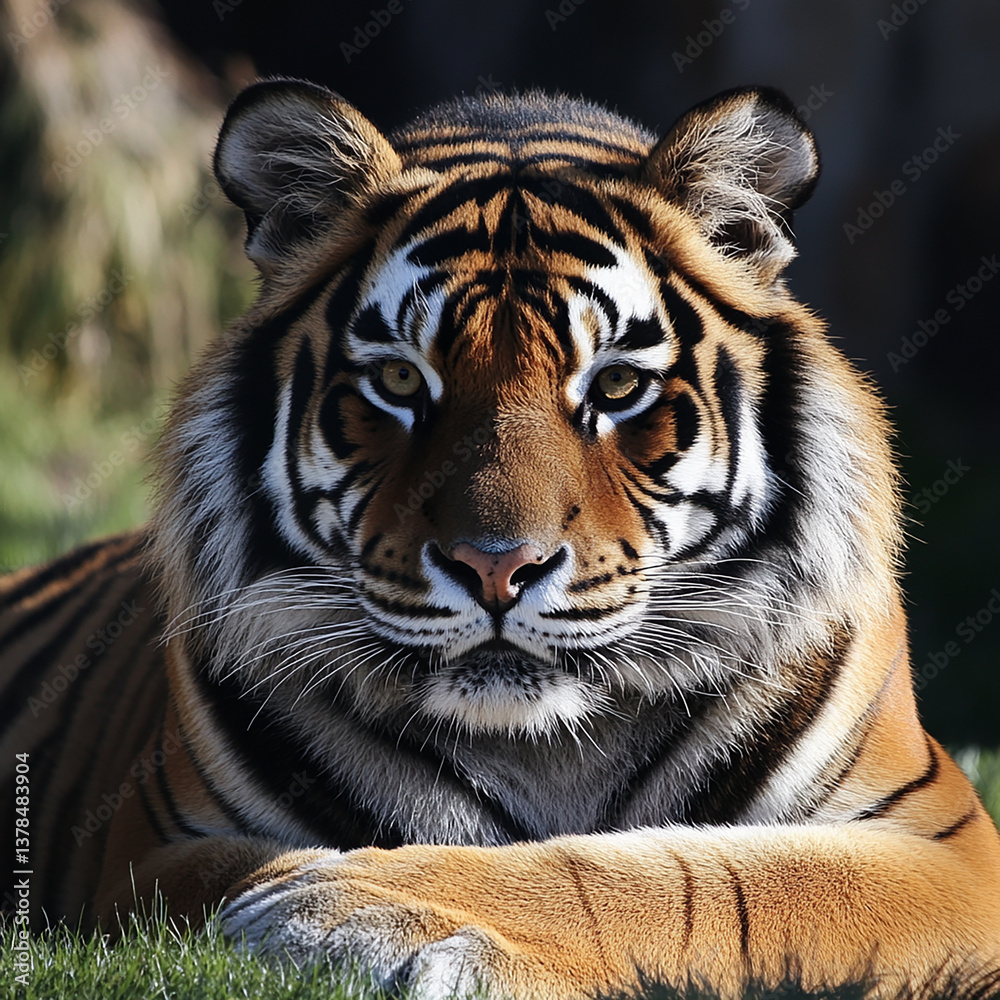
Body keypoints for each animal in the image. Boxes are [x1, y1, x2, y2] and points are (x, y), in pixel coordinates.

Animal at [2, 78, 999, 1000]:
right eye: (402, 381)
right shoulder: (155, 852)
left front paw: (343, 904)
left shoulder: (949, 851)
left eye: (617, 385)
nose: (496, 567)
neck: (545, 749)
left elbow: (697, 873)